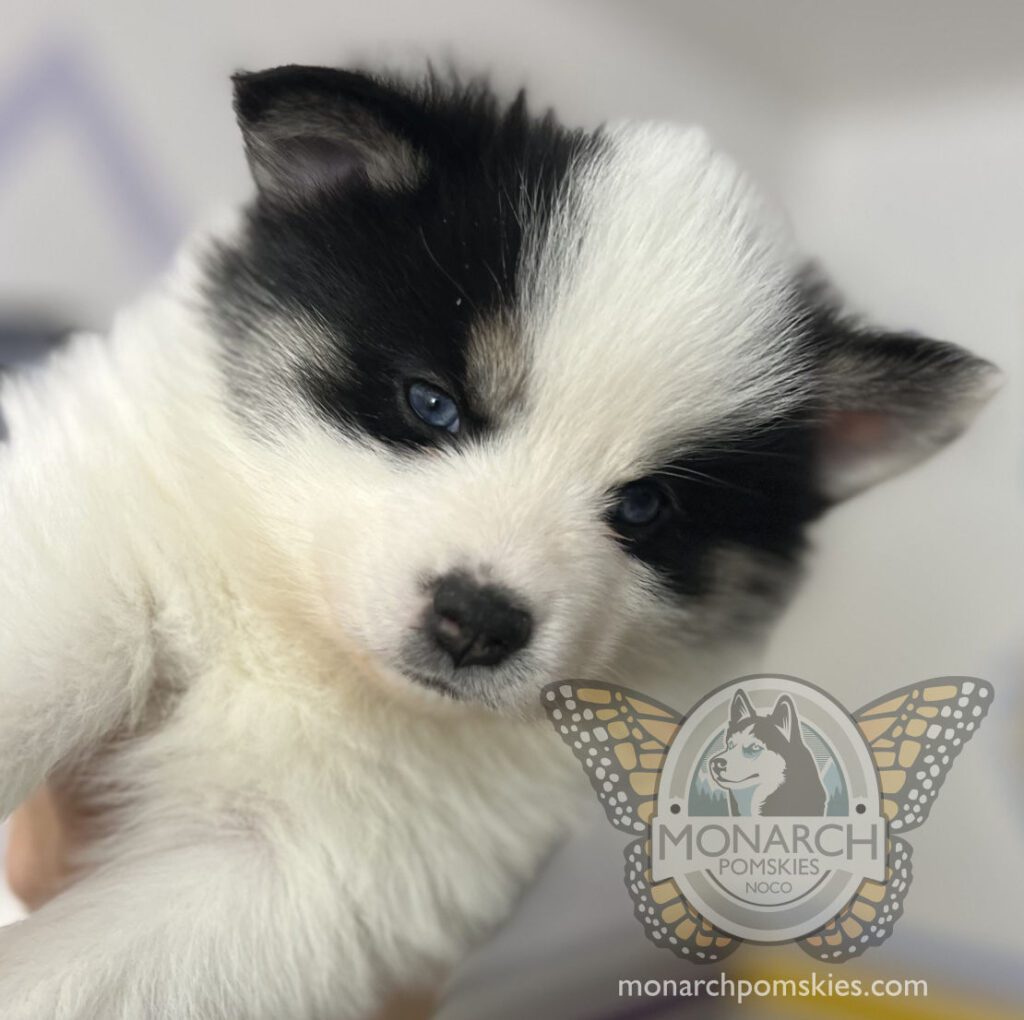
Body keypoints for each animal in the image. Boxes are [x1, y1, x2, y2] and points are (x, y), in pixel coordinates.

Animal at [0, 67, 995, 1015]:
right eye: (433, 403)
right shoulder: (108, 519)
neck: (314, 648)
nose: (476, 622)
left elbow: (98, 970)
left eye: (646, 507)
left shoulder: (319, 869)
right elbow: (53, 648)